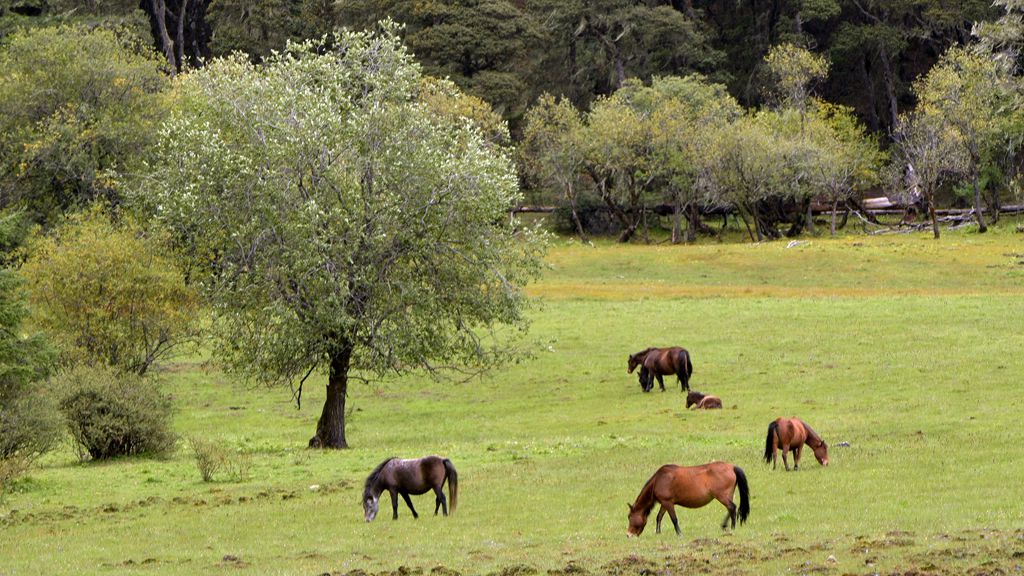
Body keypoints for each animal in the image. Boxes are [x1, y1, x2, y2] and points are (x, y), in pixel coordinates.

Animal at [618, 459, 749, 537]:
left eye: (629, 517)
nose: (628, 534)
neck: (659, 480)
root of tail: (732, 467)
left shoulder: (668, 503)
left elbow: (674, 519)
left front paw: (679, 533)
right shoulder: (664, 503)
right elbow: (659, 517)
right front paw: (658, 532)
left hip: (722, 496)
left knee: (732, 507)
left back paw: (732, 527)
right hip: (727, 495)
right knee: (731, 508)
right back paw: (725, 526)